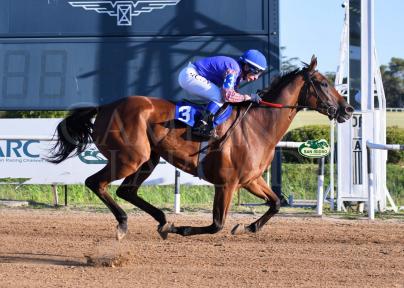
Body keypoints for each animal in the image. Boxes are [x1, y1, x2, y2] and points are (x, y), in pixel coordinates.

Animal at [49, 55, 354, 240]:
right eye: (323, 83)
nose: (348, 109)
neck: (257, 126)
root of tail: (104, 107)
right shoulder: (226, 183)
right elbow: (217, 224)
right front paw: (183, 228)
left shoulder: (251, 179)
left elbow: (277, 203)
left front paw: (250, 226)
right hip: (129, 157)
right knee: (96, 183)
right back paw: (125, 223)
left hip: (148, 158)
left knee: (126, 190)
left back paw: (162, 220)